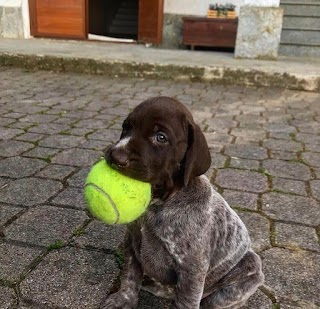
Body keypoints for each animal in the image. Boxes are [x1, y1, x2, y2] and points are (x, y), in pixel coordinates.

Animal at [101, 97, 264, 308]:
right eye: (126, 128)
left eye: (161, 137)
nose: (115, 156)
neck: (158, 204)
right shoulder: (132, 243)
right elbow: (130, 276)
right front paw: (124, 299)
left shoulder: (192, 270)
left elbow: (186, 301)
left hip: (249, 266)